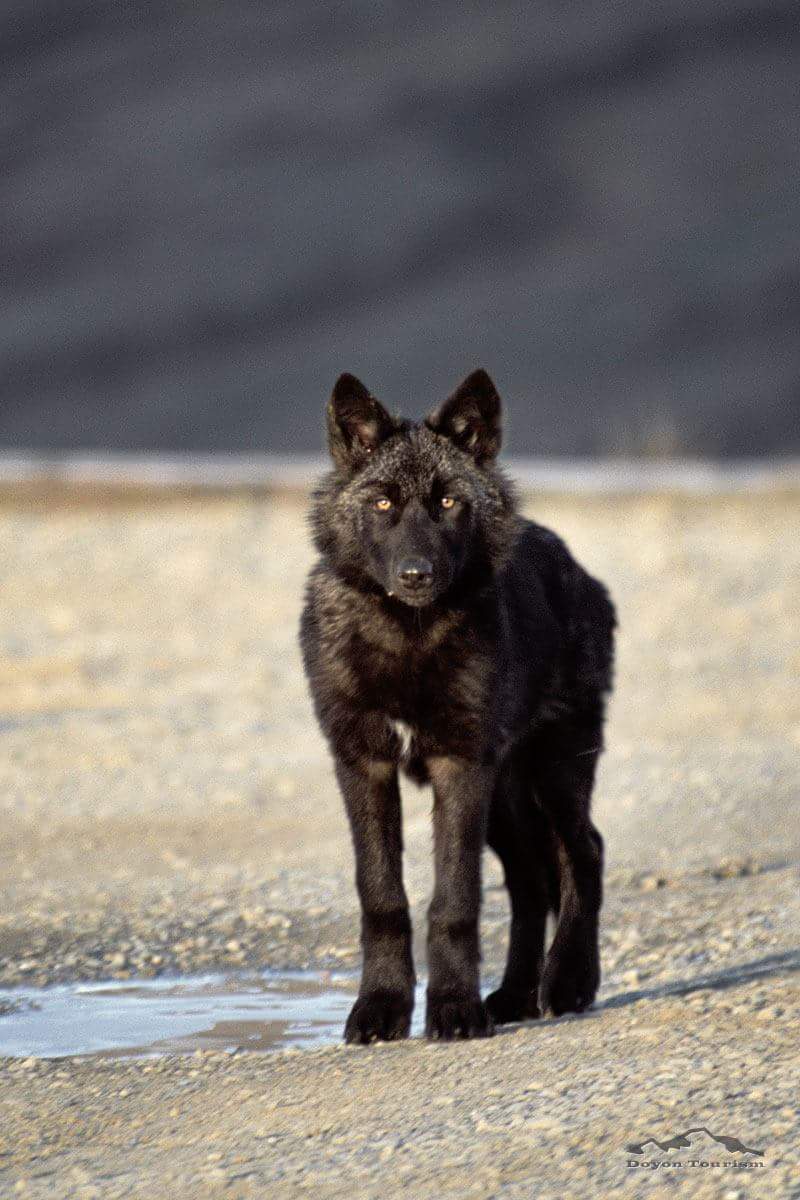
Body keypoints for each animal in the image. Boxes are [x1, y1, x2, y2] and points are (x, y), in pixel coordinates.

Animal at [300, 369, 615, 1042]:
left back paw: (567, 982)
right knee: (531, 879)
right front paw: (380, 1008)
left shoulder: (460, 766)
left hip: (554, 771)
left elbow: (454, 901)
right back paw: (515, 994)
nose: (416, 575)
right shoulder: (362, 763)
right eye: (383, 504)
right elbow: (382, 896)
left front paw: (452, 1009)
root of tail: (577, 567)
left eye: (448, 503)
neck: (408, 640)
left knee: (584, 853)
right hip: (507, 799)